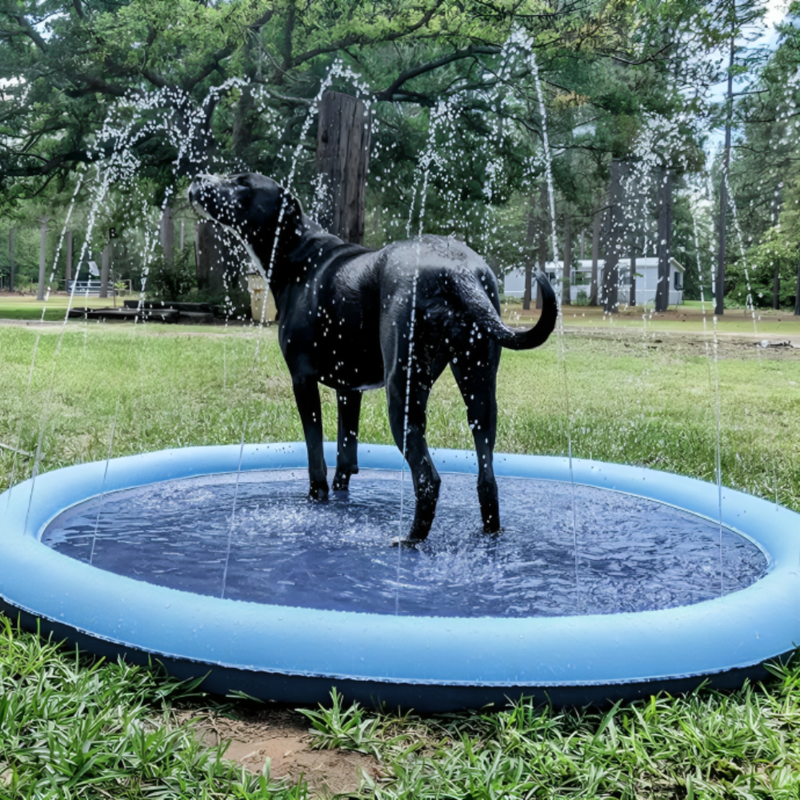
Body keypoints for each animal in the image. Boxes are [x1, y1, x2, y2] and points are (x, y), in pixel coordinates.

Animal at [191, 172, 560, 540]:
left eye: (242, 183)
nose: (198, 179)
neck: (298, 253)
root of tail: (457, 269)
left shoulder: (303, 379)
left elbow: (315, 457)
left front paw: (317, 499)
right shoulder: (349, 390)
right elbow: (345, 454)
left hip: (404, 391)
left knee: (427, 479)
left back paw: (409, 540)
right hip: (479, 388)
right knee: (487, 479)